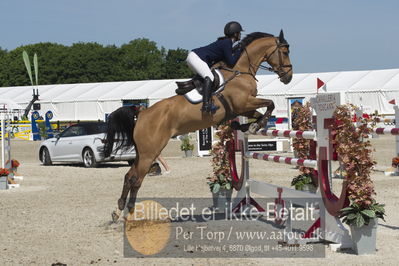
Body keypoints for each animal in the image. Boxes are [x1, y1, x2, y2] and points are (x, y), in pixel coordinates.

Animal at [106, 29, 294, 222]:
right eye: (285, 51)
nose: (288, 77)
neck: (240, 71)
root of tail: (142, 113)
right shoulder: (243, 103)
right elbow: (270, 103)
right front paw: (257, 125)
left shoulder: (244, 108)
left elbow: (259, 112)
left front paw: (248, 126)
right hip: (149, 152)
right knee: (136, 180)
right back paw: (129, 214)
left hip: (143, 152)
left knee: (129, 176)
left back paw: (118, 211)